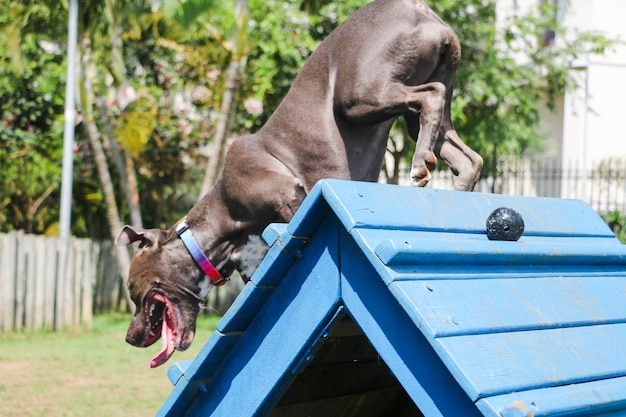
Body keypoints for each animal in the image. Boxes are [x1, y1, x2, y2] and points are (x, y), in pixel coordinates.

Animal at [114, 0, 480, 366]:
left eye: (133, 290)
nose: (129, 337)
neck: (222, 221)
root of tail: (416, 8)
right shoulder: (255, 258)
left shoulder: (290, 196)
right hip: (420, 105)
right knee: (466, 156)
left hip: (359, 96)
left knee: (430, 96)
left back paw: (419, 165)